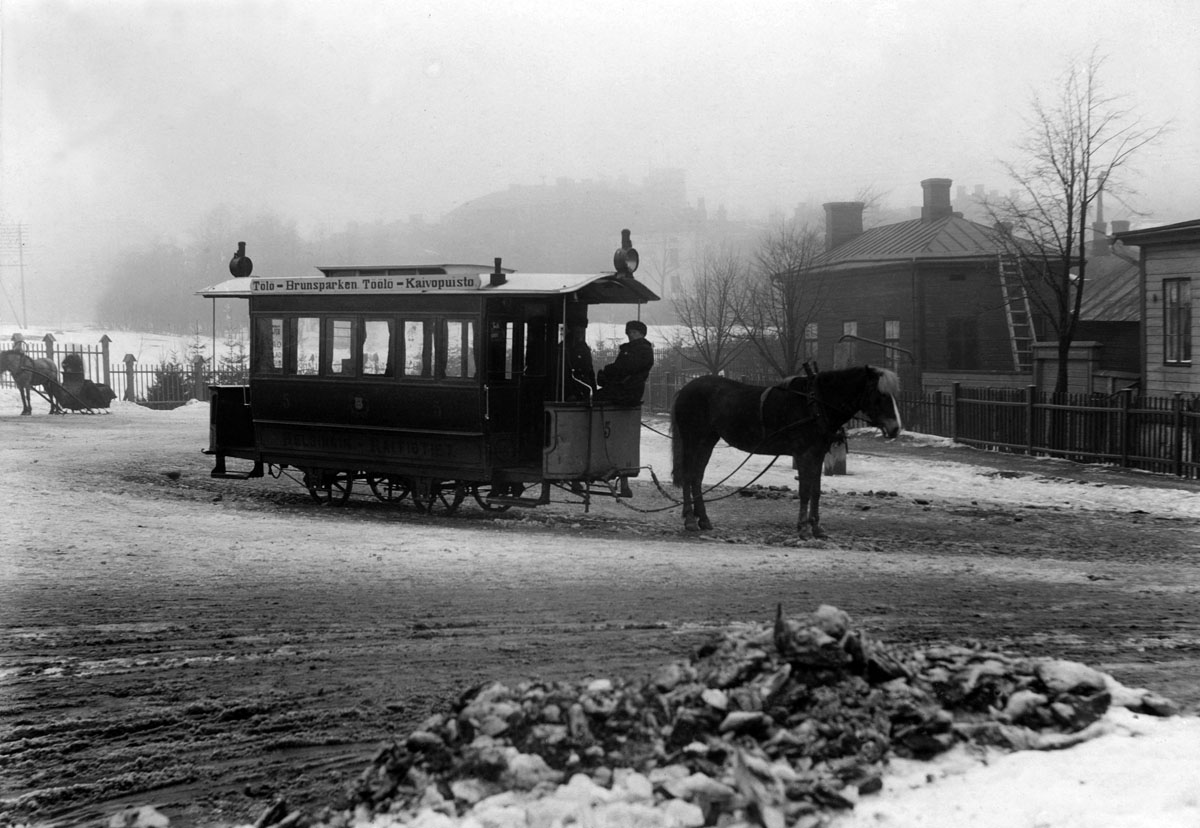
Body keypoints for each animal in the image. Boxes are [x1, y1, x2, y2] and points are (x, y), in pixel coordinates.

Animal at [672, 367, 897, 535]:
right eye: (880, 395)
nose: (895, 428)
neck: (815, 403)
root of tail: (685, 388)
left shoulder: (817, 455)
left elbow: (815, 491)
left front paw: (816, 527)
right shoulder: (805, 455)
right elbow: (805, 491)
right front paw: (804, 527)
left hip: (707, 441)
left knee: (697, 477)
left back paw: (703, 519)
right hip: (693, 439)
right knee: (689, 475)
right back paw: (690, 519)